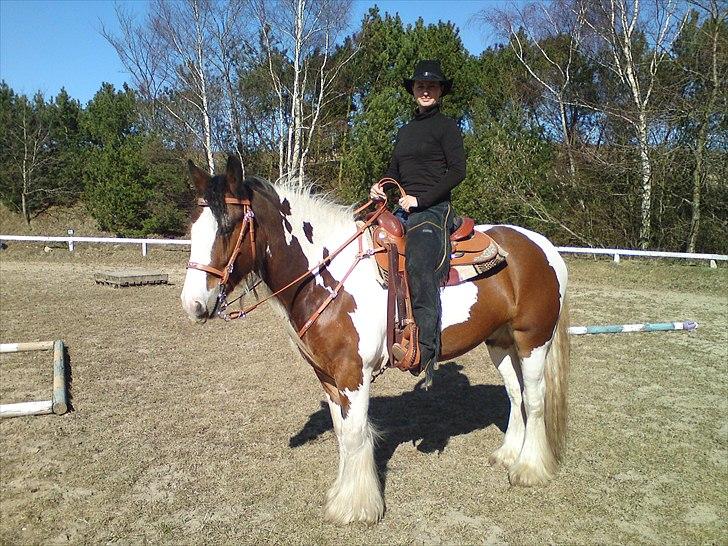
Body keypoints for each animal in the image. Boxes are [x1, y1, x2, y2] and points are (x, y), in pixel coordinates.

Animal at [181, 156, 568, 524]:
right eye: (192, 228)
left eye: (228, 226)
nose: (193, 303)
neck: (328, 273)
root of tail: (544, 246)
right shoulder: (328, 377)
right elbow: (342, 433)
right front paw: (343, 495)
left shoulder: (354, 374)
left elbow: (355, 435)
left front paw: (357, 508)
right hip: (500, 343)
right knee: (515, 394)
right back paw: (508, 455)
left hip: (533, 340)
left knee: (535, 398)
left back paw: (529, 468)